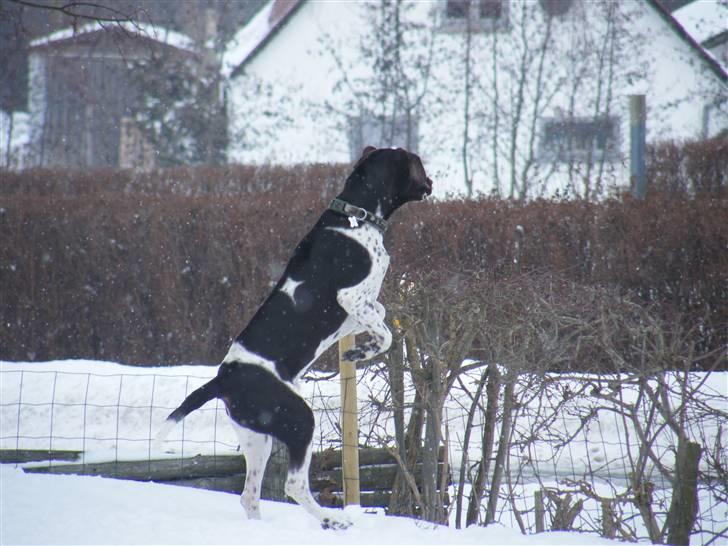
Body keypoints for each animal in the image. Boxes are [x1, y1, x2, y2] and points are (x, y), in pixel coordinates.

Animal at [158, 146, 432, 528]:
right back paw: (332, 520)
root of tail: (223, 380)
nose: (431, 182)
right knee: (293, 485)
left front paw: (363, 344)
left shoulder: (358, 308)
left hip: (258, 438)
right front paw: (360, 353)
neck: (355, 216)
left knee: (249, 496)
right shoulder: (350, 298)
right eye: (417, 164)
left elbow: (378, 315)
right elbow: (386, 334)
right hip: (301, 420)